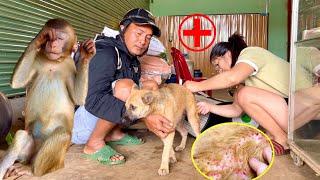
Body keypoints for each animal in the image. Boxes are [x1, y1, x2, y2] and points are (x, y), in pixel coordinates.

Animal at [0, 18, 95, 179]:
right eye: (50, 38)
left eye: (60, 38)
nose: (52, 44)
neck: (54, 62)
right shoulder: (37, 58)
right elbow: (18, 82)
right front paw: (40, 36)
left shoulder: (70, 66)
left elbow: (78, 99)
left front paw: (86, 54)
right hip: (29, 150)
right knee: (21, 136)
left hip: (55, 160)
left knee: (61, 135)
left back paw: (31, 170)